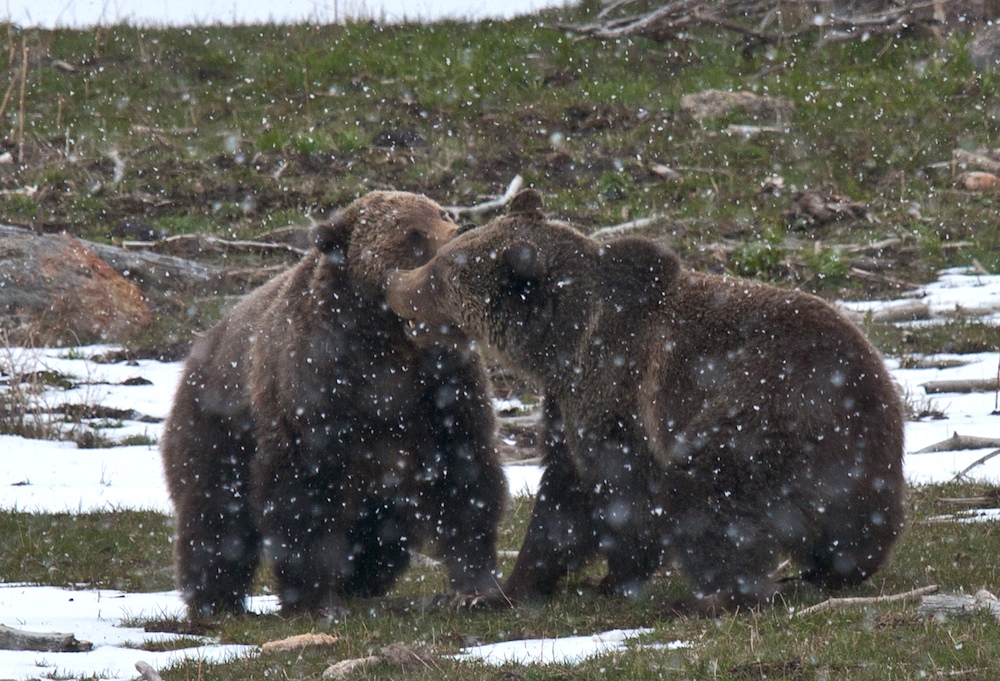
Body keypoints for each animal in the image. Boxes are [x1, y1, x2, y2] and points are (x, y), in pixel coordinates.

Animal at [164, 190, 512, 616]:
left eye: (442, 214)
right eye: (412, 232)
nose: (462, 230)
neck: (387, 346)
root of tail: (200, 347)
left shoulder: (442, 387)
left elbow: (466, 477)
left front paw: (477, 588)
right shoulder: (316, 390)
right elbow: (303, 495)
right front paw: (314, 599)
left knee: (382, 529)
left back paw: (360, 580)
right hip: (219, 424)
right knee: (215, 512)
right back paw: (215, 598)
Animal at [382, 189, 908, 612]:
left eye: (442, 272)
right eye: (440, 257)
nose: (394, 282)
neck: (562, 340)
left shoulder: (610, 387)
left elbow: (614, 493)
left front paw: (597, 581)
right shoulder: (567, 399)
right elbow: (566, 490)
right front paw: (511, 586)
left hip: (766, 417)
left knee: (705, 494)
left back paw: (709, 598)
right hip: (860, 473)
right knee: (854, 539)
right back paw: (824, 571)